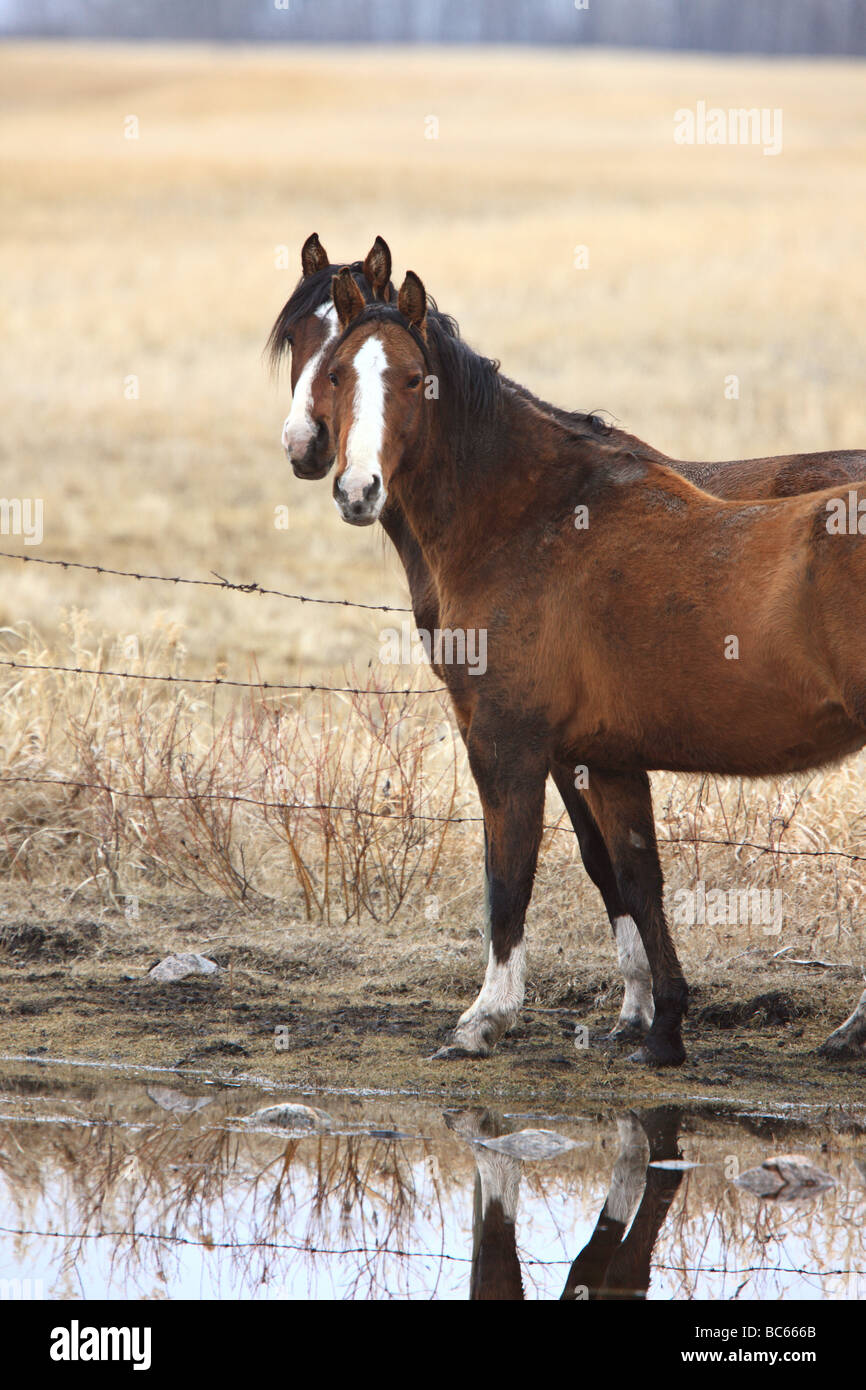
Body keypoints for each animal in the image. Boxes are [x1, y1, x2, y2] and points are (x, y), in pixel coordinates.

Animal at [312, 264, 866, 1068]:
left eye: (415, 379)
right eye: (335, 372)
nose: (358, 490)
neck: (531, 521)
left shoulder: (507, 744)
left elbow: (508, 877)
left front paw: (485, 1019)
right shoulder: (604, 760)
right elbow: (637, 880)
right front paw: (662, 1031)